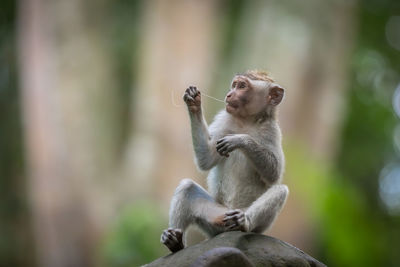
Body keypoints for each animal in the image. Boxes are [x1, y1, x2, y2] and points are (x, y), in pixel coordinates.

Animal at [161, 69, 290, 253]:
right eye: (234, 85)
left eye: (242, 86)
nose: (229, 94)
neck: (246, 120)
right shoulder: (224, 120)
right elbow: (206, 159)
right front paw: (193, 102)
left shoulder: (272, 130)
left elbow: (273, 174)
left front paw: (240, 140)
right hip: (214, 217)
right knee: (187, 187)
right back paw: (175, 242)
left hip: (253, 223)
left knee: (280, 190)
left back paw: (242, 222)